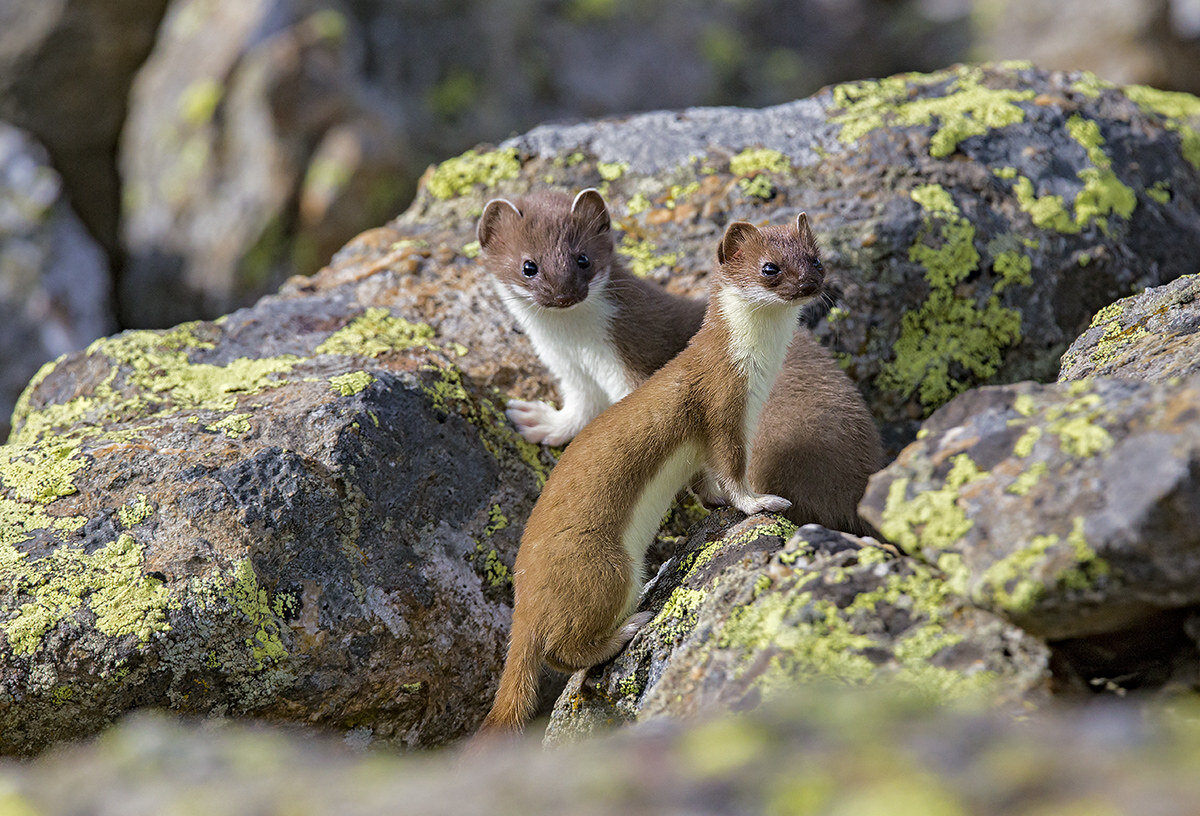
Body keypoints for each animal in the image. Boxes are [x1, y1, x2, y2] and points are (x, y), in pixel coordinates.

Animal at [475, 189, 883, 535]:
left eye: (583, 259)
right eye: (528, 266)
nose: (564, 294)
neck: (577, 346)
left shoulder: (633, 360)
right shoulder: (568, 369)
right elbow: (579, 409)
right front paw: (539, 420)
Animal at [477, 212, 825, 734]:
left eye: (817, 258)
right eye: (770, 267)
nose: (810, 283)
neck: (759, 377)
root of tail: (523, 608)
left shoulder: (708, 442)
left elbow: (705, 479)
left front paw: (717, 500)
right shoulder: (722, 408)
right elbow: (733, 470)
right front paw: (762, 501)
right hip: (606, 565)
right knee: (560, 650)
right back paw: (627, 629)